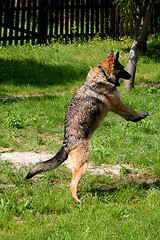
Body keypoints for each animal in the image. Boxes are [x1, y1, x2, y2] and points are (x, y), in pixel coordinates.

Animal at [25, 51, 148, 202]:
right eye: (122, 68)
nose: (130, 76)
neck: (103, 75)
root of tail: (67, 144)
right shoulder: (118, 103)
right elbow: (131, 109)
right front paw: (141, 114)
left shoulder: (113, 107)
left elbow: (126, 115)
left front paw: (136, 119)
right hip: (83, 164)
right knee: (72, 185)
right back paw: (78, 201)